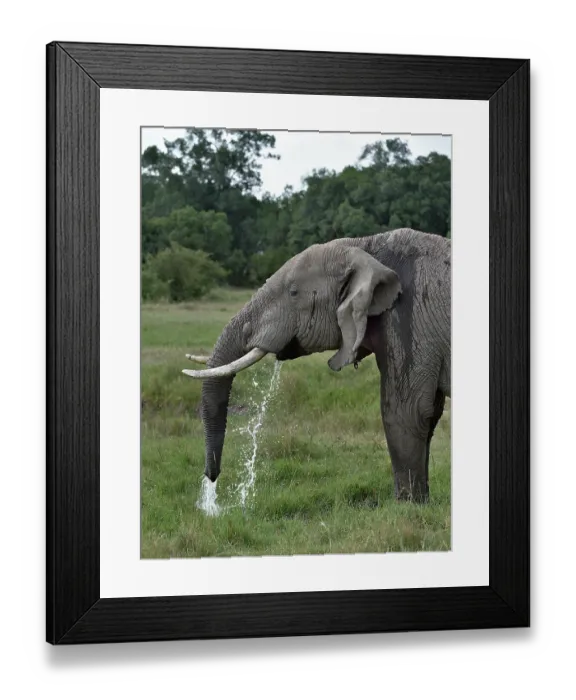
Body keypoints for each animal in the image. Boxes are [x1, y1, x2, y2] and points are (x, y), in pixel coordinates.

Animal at [183, 227, 451, 503]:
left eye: (293, 293)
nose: (211, 478)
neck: (366, 245)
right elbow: (429, 415)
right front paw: (419, 503)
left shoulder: (409, 321)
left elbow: (406, 412)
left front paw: (408, 506)